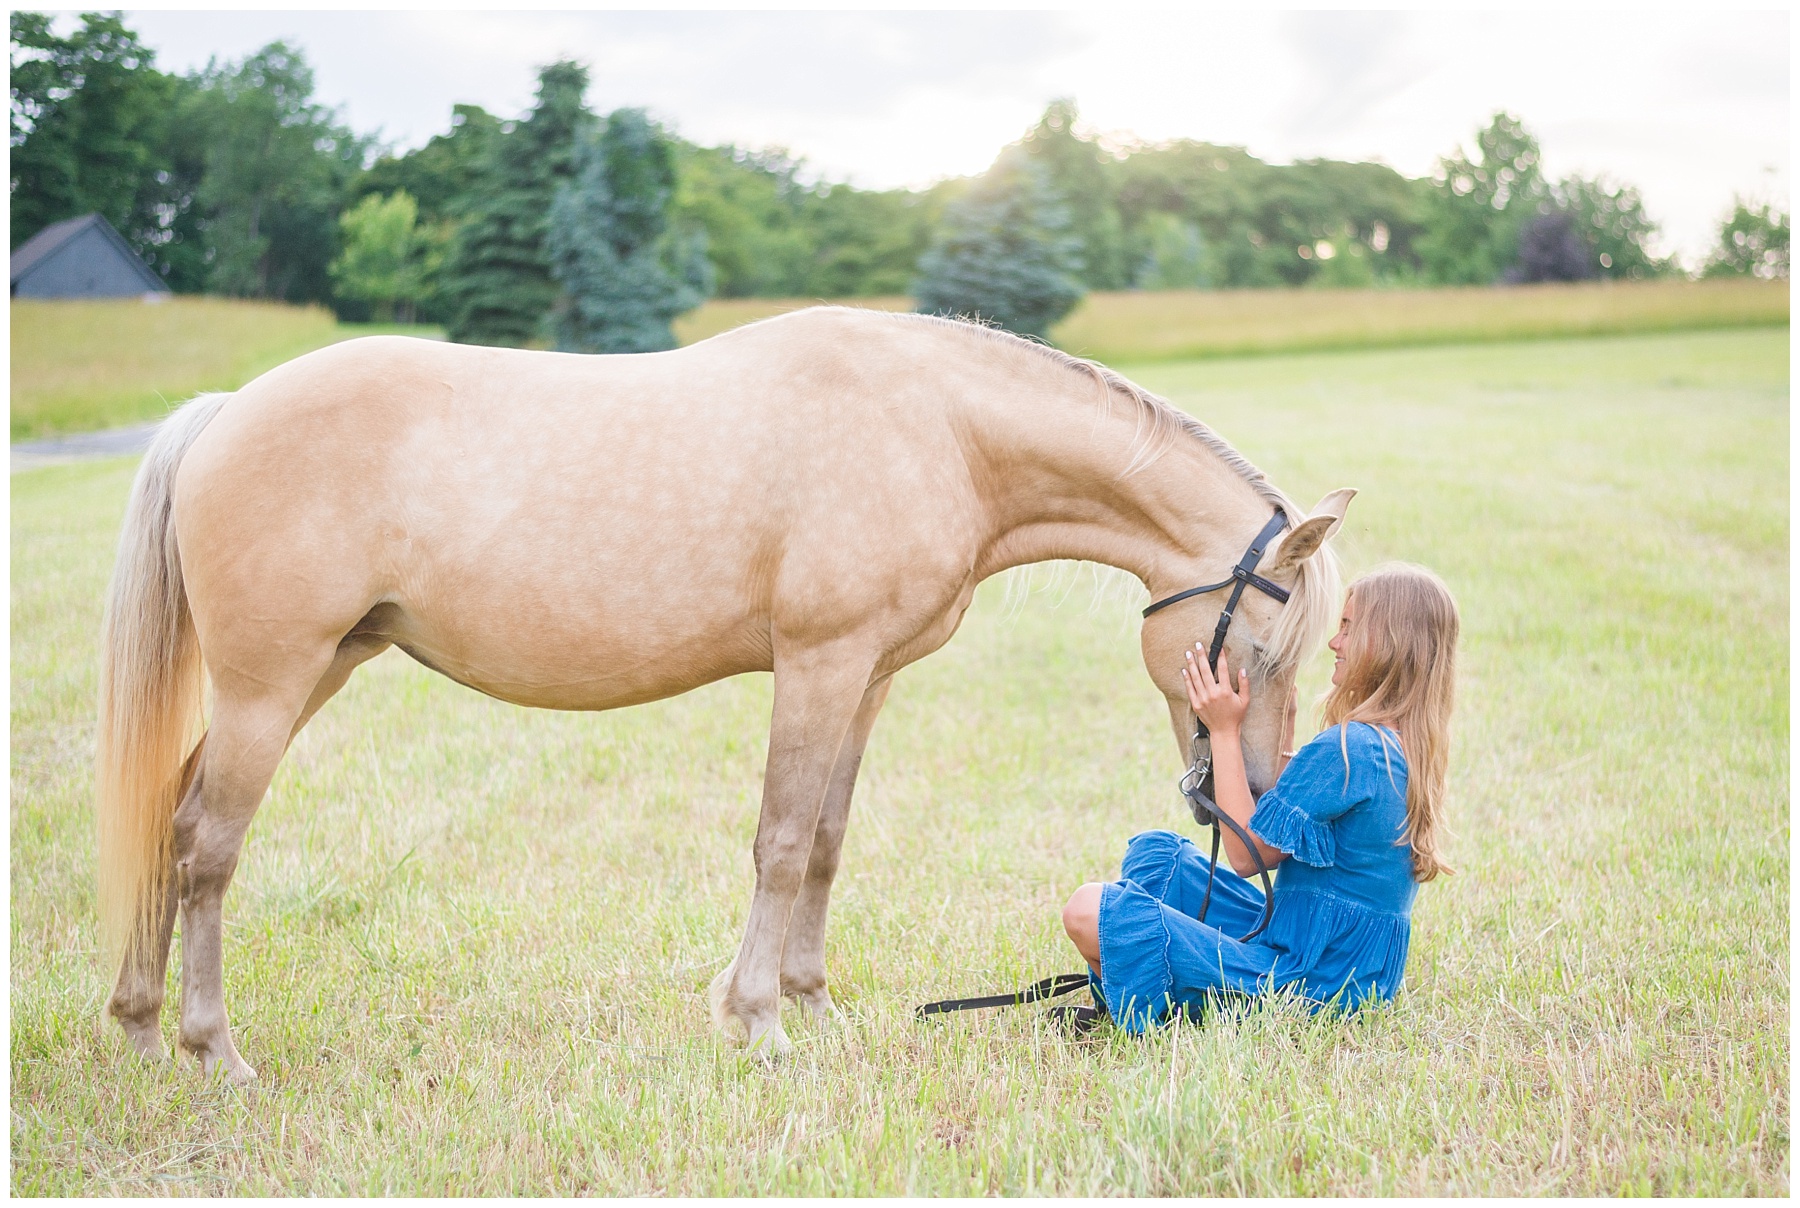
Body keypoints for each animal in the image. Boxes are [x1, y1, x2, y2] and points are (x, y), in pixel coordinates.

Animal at [91, 307, 1346, 1080]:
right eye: (1263, 653)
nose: (1247, 808)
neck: (938, 425)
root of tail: (224, 409)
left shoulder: (866, 679)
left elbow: (826, 842)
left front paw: (813, 1005)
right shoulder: (819, 663)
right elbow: (781, 842)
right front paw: (757, 1022)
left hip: (317, 668)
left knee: (171, 818)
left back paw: (143, 1029)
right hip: (271, 685)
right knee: (207, 846)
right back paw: (212, 1048)